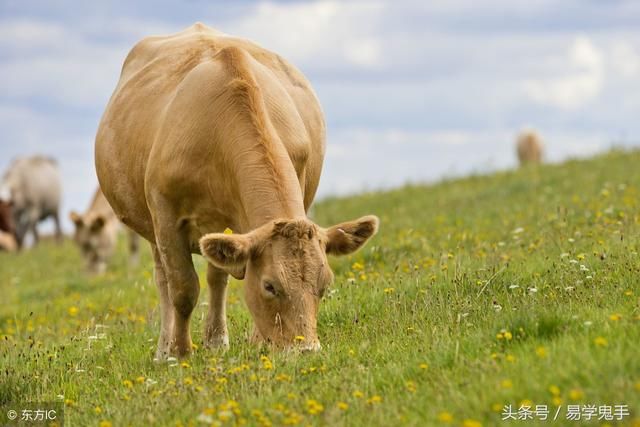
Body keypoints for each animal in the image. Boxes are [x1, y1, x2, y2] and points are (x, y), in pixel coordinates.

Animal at [92, 21, 378, 360]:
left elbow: (218, 278)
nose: (306, 349)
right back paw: (164, 350)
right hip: (149, 225)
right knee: (163, 280)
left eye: (324, 285)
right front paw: (180, 352)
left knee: (217, 277)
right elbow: (182, 288)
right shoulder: (165, 214)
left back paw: (216, 340)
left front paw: (255, 340)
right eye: (270, 286)